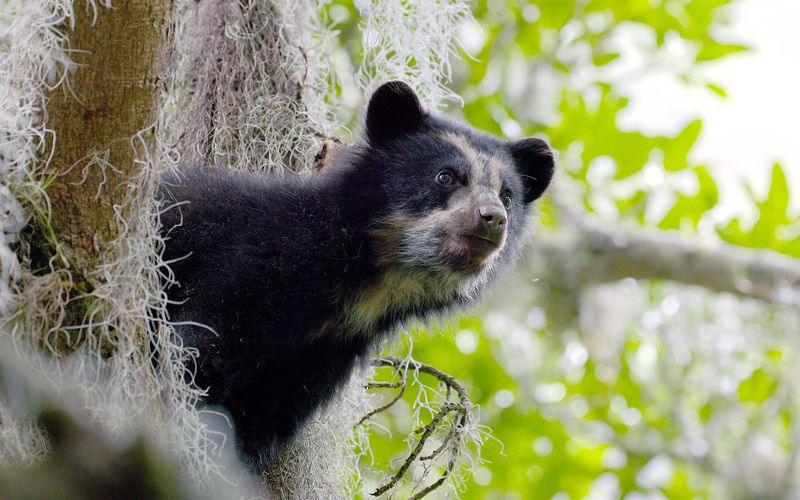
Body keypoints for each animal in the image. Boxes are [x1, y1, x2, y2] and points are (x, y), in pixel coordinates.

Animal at [159, 80, 552, 470]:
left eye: (507, 196)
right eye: (446, 176)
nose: (493, 218)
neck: (372, 276)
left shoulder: (328, 348)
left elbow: (266, 413)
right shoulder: (252, 260)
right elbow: (199, 344)